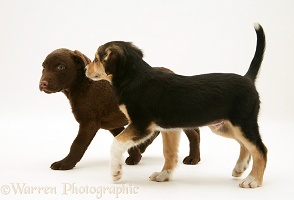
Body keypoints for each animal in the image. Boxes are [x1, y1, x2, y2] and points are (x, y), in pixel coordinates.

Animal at [38, 48, 200, 170]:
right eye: (43, 67)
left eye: (60, 67)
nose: (42, 84)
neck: (83, 86)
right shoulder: (113, 125)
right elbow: (127, 143)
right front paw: (136, 157)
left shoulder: (89, 123)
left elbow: (77, 145)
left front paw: (65, 163)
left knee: (194, 133)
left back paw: (194, 158)